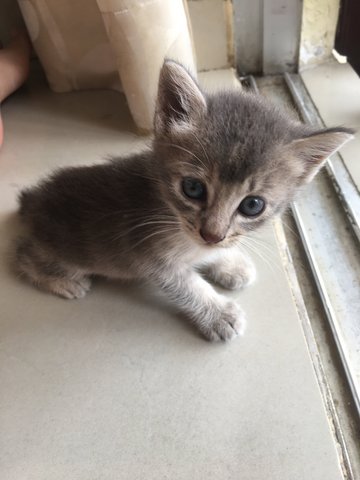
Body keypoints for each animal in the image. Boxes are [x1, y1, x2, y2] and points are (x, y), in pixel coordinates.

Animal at [15, 60, 352, 342]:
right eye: (193, 188)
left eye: (252, 205)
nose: (212, 234)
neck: (167, 211)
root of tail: (31, 201)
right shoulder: (149, 255)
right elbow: (188, 286)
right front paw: (218, 315)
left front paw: (229, 264)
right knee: (22, 259)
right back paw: (61, 281)